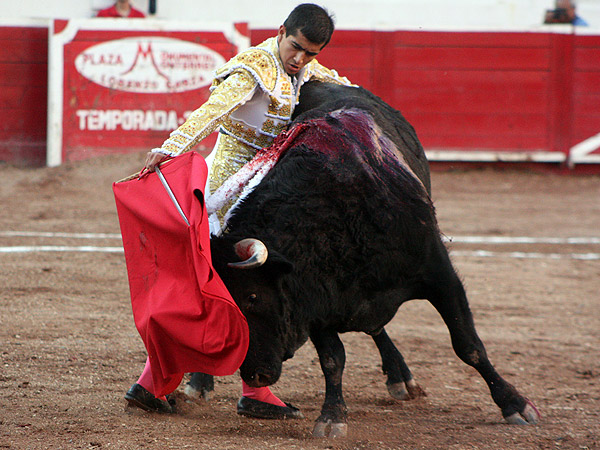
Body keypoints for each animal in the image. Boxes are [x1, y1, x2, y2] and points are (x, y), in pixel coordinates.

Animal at [189, 81, 540, 436]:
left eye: (252, 296)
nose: (255, 375)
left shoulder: (439, 273)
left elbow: (468, 344)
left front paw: (515, 404)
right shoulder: (315, 296)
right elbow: (333, 359)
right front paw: (332, 416)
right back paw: (199, 382)